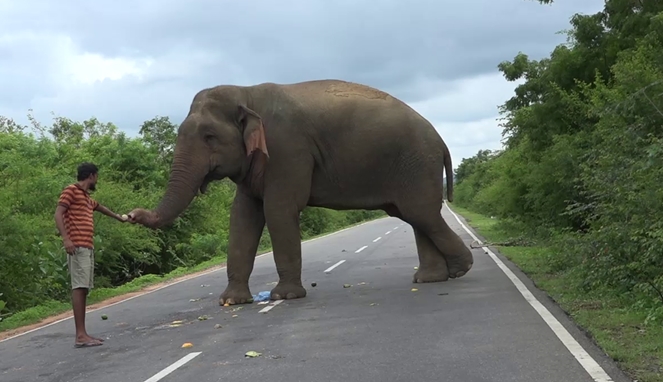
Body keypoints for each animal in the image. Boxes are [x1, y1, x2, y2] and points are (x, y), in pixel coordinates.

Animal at [127, 79, 474, 306]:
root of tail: (441, 139)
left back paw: (461, 270)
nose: (131, 214)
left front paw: (285, 297)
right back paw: (431, 279)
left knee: (420, 213)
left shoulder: (287, 148)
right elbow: (243, 216)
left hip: (416, 162)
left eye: (210, 136)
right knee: (413, 215)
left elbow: (278, 210)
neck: (247, 93)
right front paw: (232, 303)